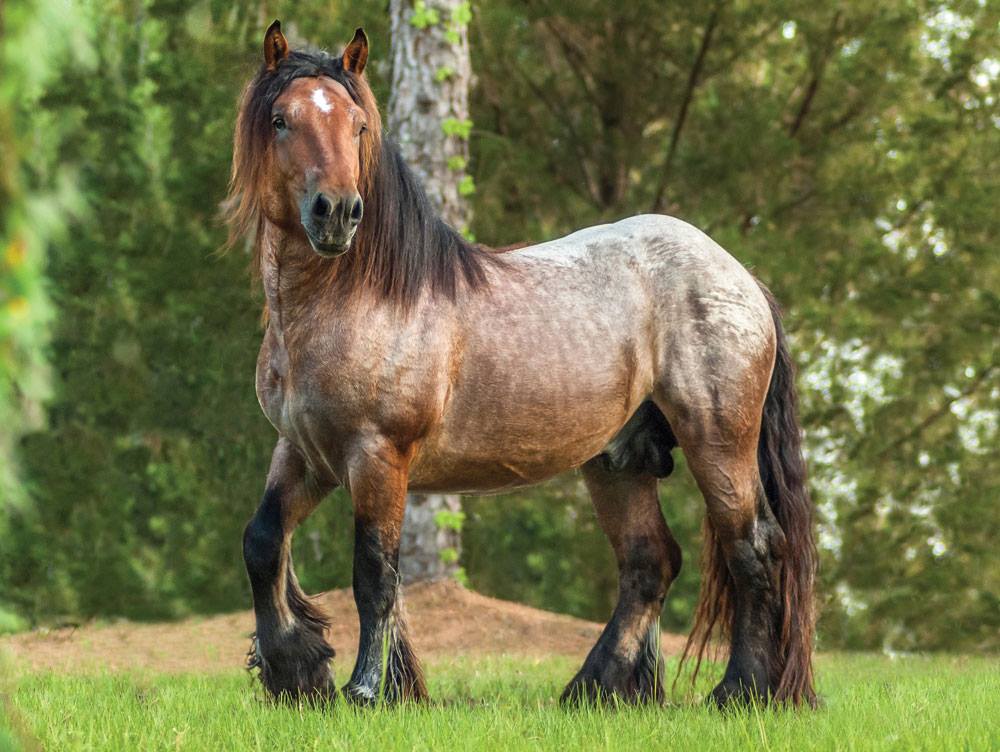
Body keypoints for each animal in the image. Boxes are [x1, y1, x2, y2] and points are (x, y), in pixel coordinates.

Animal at [229, 20, 820, 708]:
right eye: (280, 119)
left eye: (358, 126)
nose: (338, 213)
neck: (356, 300)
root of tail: (740, 277)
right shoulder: (306, 451)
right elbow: (263, 542)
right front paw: (295, 669)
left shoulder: (377, 455)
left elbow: (374, 572)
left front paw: (368, 690)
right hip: (618, 460)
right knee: (650, 562)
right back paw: (594, 689)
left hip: (719, 444)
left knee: (753, 548)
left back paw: (742, 690)